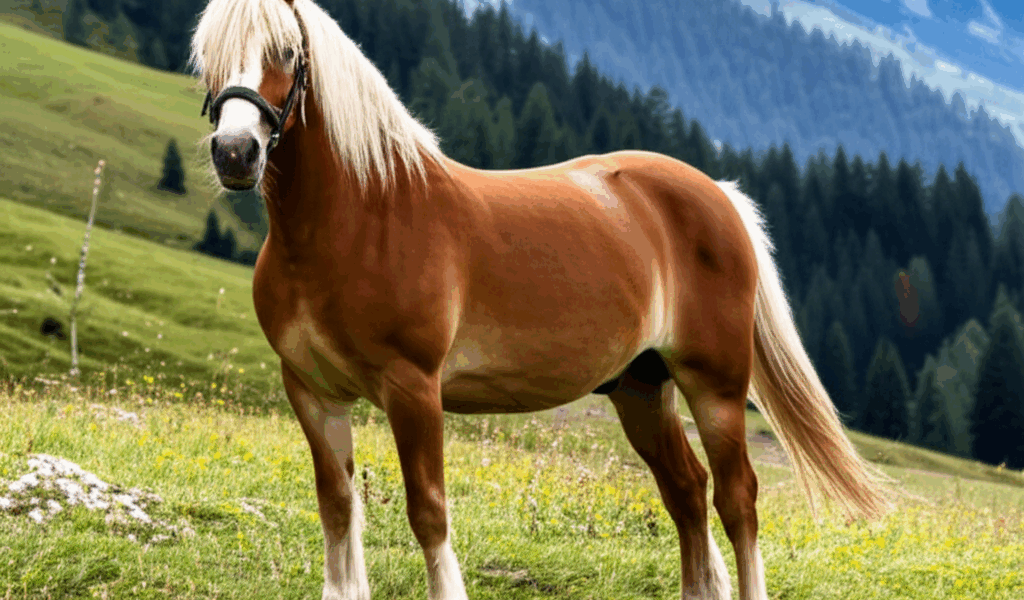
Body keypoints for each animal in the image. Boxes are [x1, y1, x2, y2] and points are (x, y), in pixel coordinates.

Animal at [190, 1, 893, 598]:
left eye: (286, 49)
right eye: (208, 54)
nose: (236, 152)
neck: (362, 217)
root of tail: (718, 194)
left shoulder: (413, 388)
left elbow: (428, 510)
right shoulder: (312, 391)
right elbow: (337, 504)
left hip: (715, 386)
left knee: (737, 499)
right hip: (642, 390)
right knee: (688, 493)